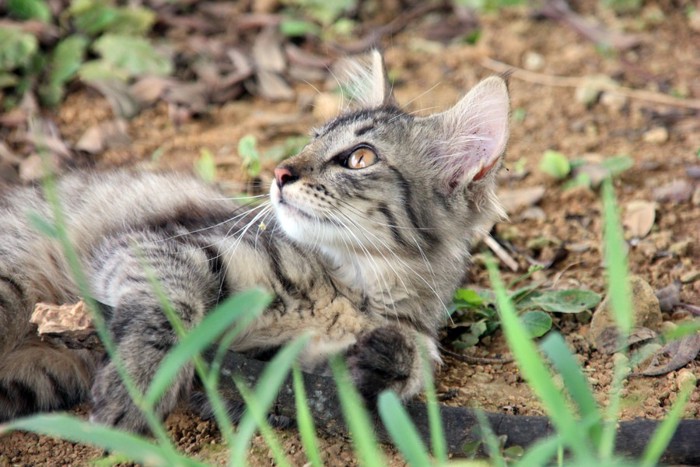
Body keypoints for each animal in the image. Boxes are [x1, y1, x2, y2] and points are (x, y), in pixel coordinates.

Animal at [0, 52, 506, 436]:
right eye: (312, 140)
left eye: (359, 158)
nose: (280, 173)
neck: (352, 286)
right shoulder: (153, 245)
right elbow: (171, 312)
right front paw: (141, 386)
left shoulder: (263, 372)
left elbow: (406, 360)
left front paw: (386, 361)